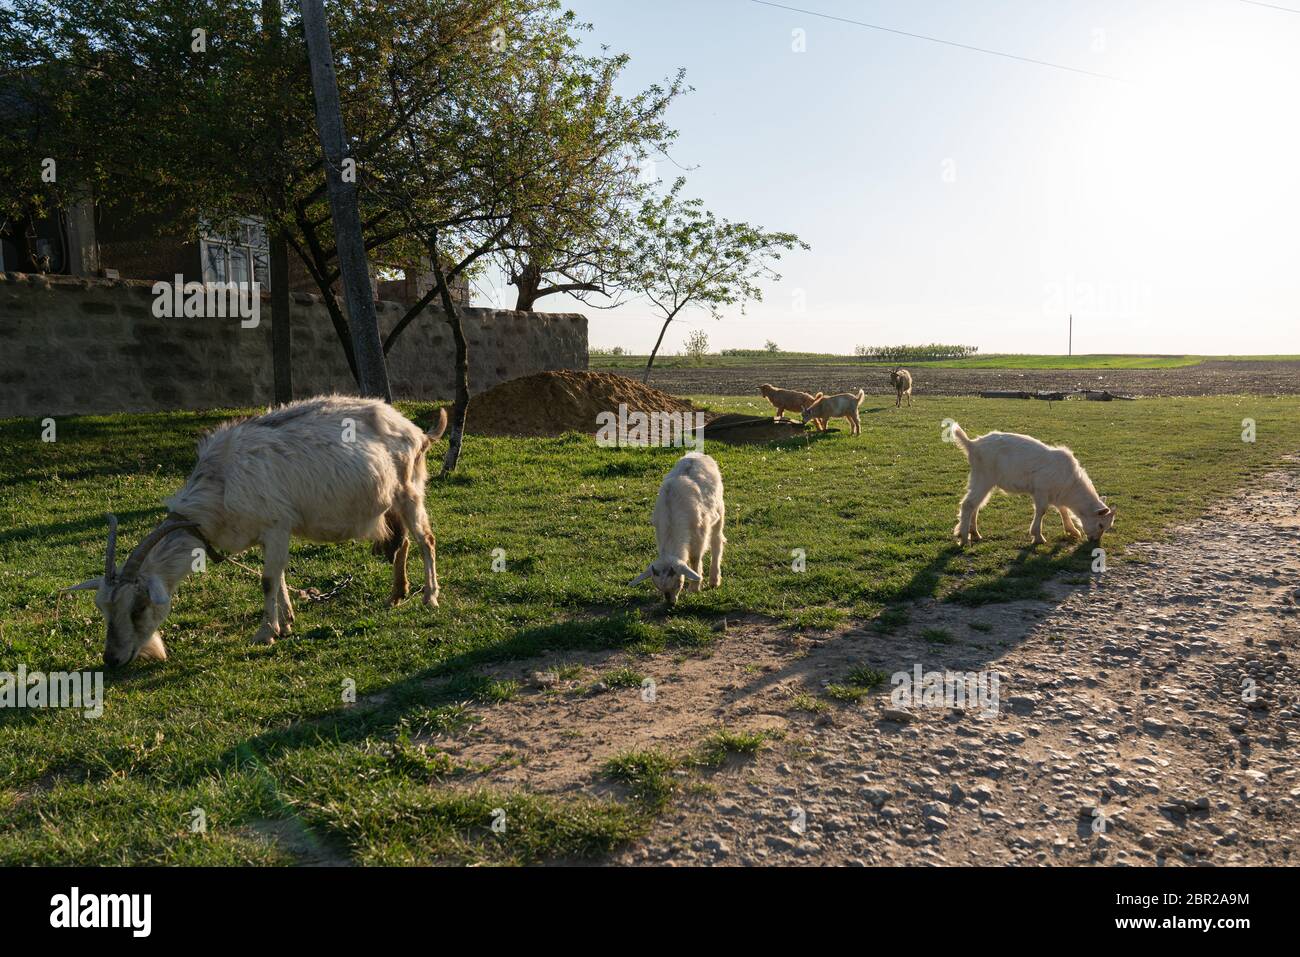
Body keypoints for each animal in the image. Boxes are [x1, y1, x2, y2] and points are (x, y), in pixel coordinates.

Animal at [66, 396, 448, 666]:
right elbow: (278, 577)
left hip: (410, 490)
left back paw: (429, 597)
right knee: (401, 542)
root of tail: (416, 430)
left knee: (425, 540)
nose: (112, 659)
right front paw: (288, 621)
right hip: (391, 500)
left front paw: (266, 632)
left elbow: (266, 580)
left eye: (138, 608)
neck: (219, 484)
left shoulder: (277, 524)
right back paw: (397, 593)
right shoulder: (269, 533)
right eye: (103, 609)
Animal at [629, 452, 726, 607]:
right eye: (657, 587)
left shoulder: (700, 531)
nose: (671, 603)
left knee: (717, 541)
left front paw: (694, 587)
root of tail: (698, 454)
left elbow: (695, 558)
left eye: (678, 583)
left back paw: (714, 579)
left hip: (719, 509)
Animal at [949, 422, 1116, 547]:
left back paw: (975, 534)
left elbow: (1062, 509)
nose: (1094, 541)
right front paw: (1038, 537)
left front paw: (1072, 531)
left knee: (976, 505)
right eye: (1101, 525)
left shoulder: (1056, 493)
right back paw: (964, 539)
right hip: (984, 478)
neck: (1071, 485)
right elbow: (1042, 510)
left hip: (979, 479)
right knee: (968, 504)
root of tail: (972, 444)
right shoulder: (1041, 490)